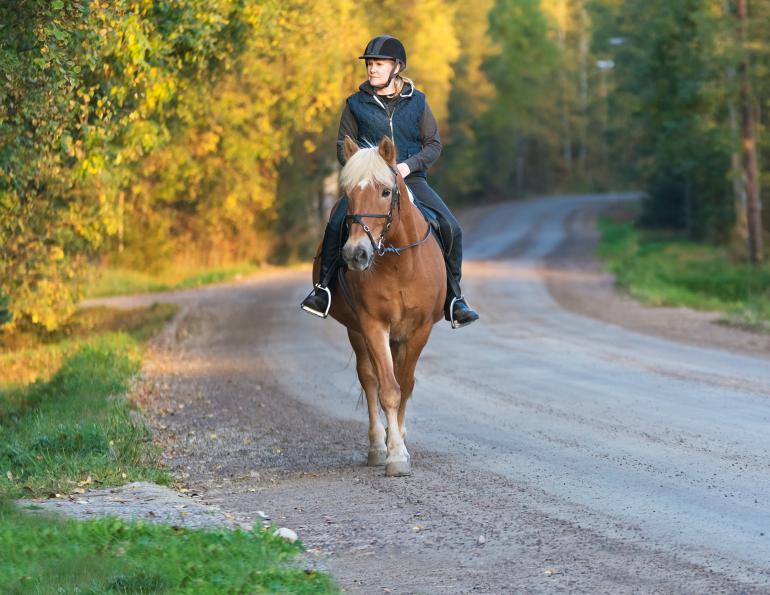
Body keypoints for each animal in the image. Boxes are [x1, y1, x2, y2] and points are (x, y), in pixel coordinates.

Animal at [312, 135, 446, 476]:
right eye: (348, 194)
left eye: (386, 192)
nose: (355, 254)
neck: (399, 265)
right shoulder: (372, 325)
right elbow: (387, 389)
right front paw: (394, 454)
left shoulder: (419, 330)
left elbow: (405, 384)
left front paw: (400, 443)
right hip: (357, 331)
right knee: (369, 379)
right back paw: (377, 445)